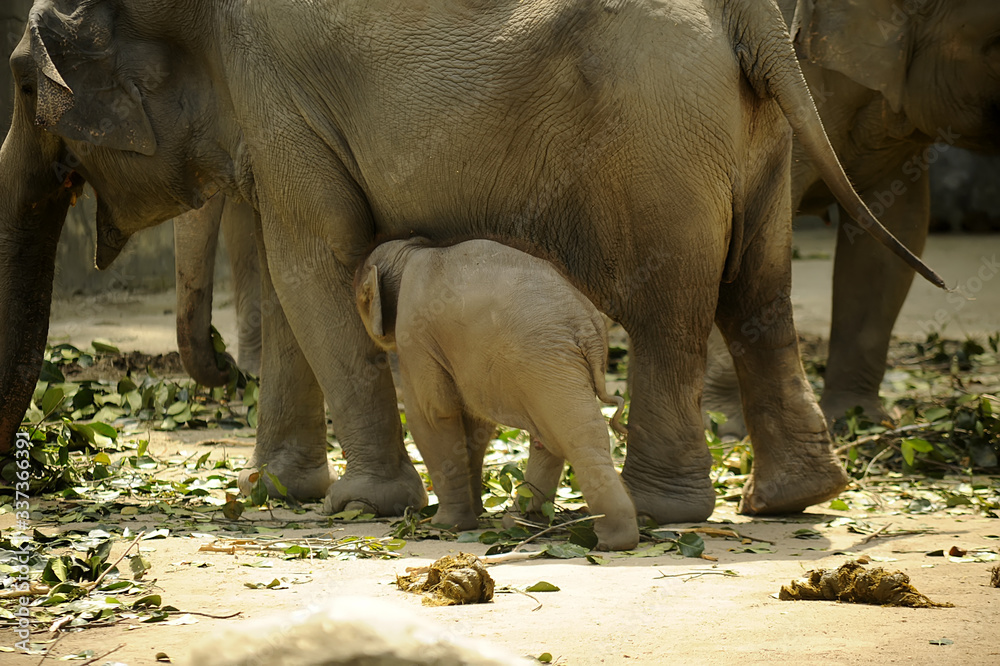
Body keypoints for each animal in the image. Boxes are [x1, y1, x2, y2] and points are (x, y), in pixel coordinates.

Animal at [354, 237, 638, 550]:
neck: (412, 250)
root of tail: (589, 326)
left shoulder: (415, 336)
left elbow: (433, 416)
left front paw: (446, 525)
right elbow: (474, 423)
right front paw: (474, 513)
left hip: (542, 364)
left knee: (574, 436)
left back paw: (611, 539)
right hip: (552, 367)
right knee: (554, 437)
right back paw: (521, 523)